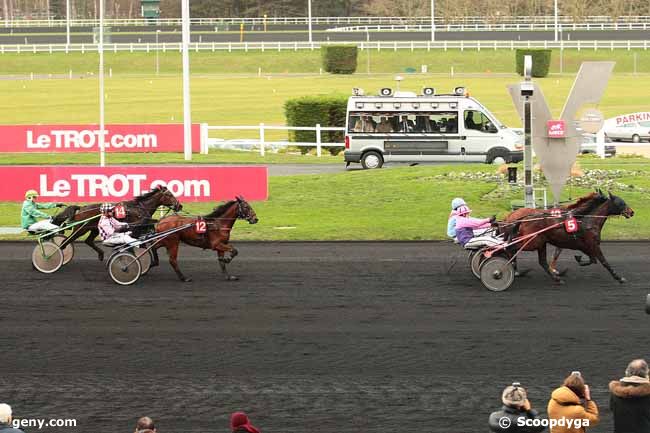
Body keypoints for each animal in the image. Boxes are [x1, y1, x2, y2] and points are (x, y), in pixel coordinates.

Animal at [51, 185, 181, 260]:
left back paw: (101, 255)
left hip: (93, 229)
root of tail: (82, 208)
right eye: (169, 194)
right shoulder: (136, 225)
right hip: (81, 229)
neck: (140, 207)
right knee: (65, 242)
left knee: (88, 241)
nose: (179, 205)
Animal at [502, 190, 632, 284]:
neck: (586, 220)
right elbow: (603, 261)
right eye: (621, 202)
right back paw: (508, 270)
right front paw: (619, 277)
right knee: (511, 249)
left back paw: (556, 279)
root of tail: (519, 217)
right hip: (532, 242)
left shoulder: (583, 245)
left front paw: (578, 259)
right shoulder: (593, 244)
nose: (631, 212)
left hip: (540, 243)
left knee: (542, 261)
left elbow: (592, 259)